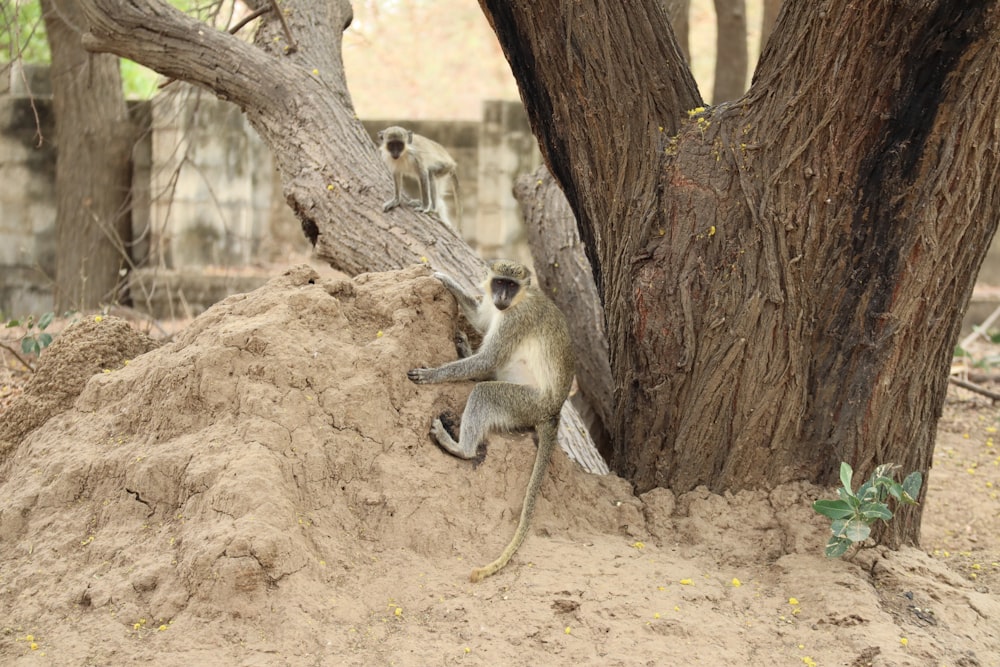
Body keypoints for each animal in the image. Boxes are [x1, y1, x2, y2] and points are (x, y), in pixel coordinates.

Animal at [404, 258, 576, 580]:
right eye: (499, 282)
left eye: (511, 285)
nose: (501, 297)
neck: (517, 302)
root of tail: (553, 411)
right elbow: (482, 321)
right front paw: (444, 278)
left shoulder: (516, 319)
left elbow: (488, 358)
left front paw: (432, 374)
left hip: (523, 404)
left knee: (485, 391)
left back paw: (460, 447)